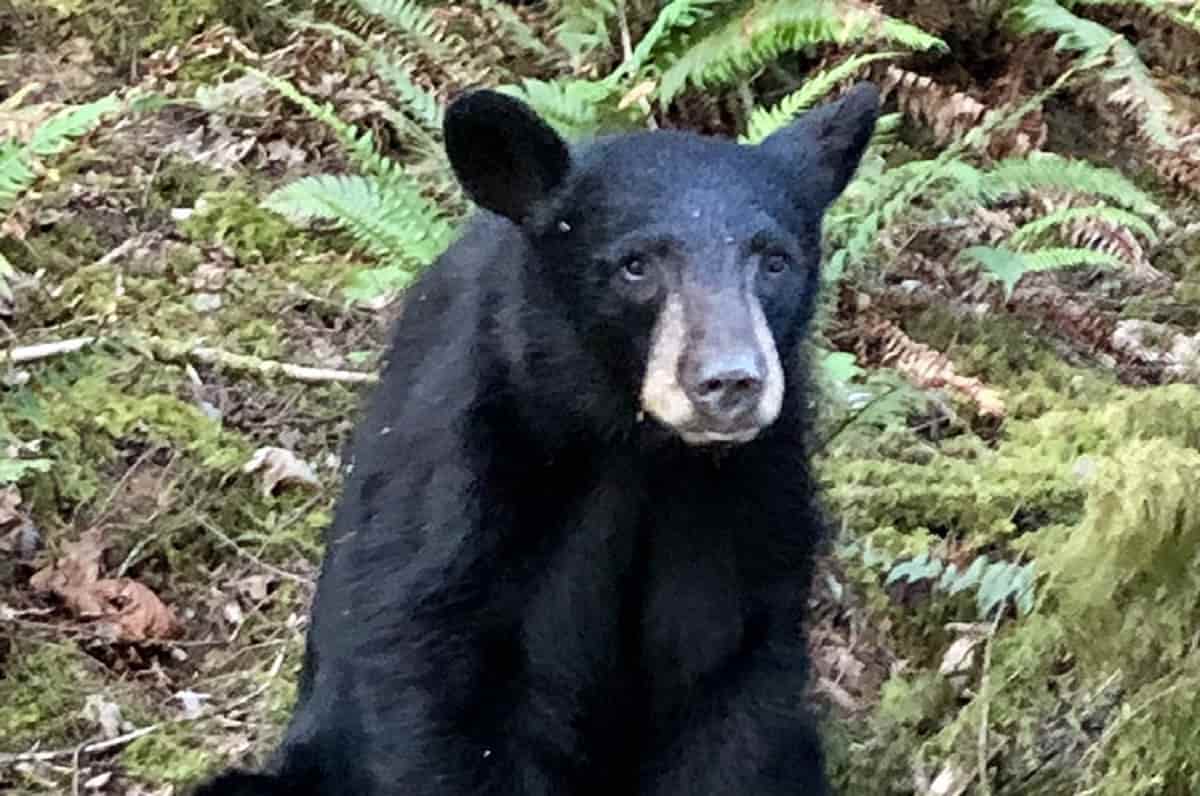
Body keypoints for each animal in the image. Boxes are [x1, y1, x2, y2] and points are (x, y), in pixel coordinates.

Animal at [192, 78, 878, 792]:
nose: (731, 381)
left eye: (774, 261)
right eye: (636, 265)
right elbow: (433, 685)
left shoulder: (751, 501)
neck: (636, 449)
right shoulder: (468, 480)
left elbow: (730, 688)